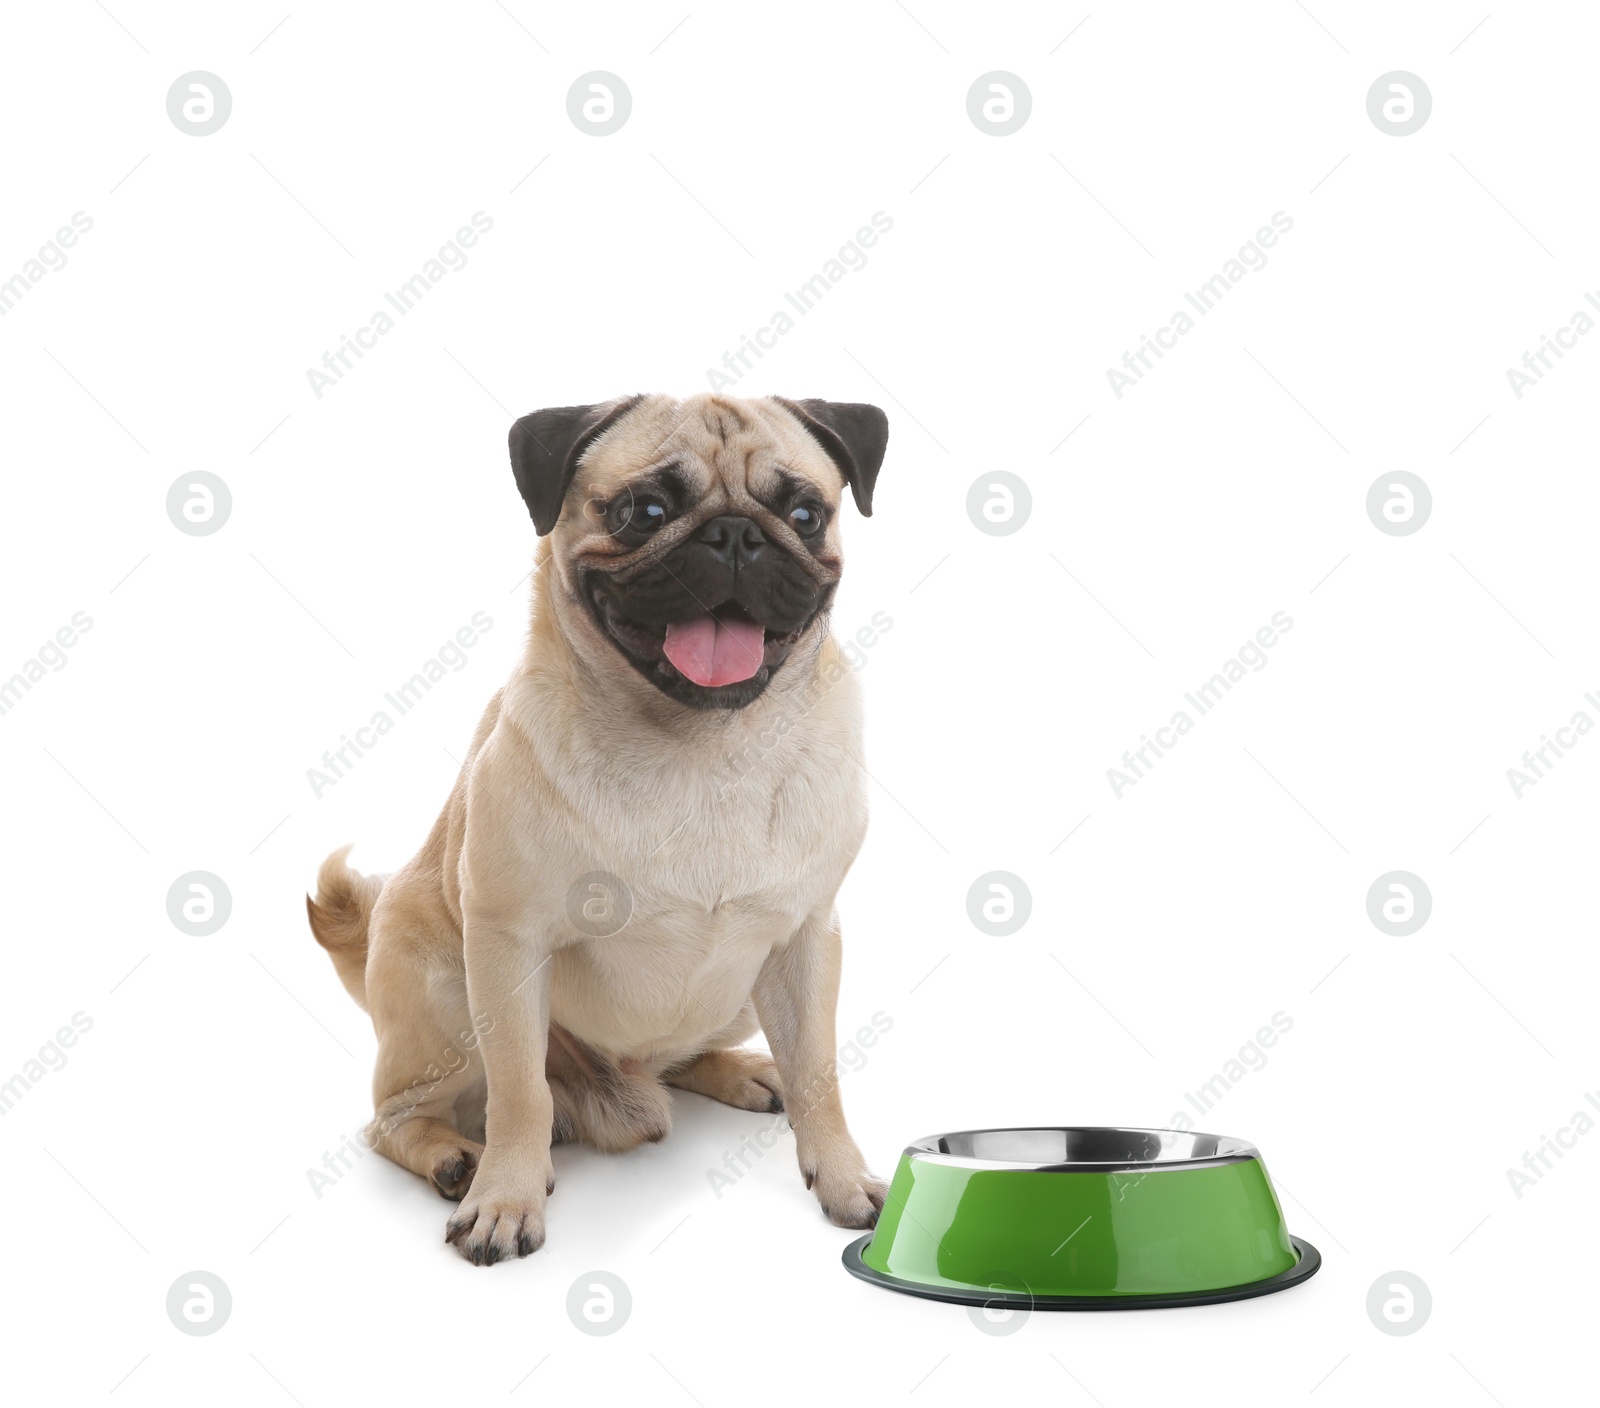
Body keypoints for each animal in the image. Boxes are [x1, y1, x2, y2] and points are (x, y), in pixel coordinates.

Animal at [305, 393, 896, 1267]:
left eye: (804, 514)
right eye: (642, 511)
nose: (735, 535)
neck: (704, 746)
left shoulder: (806, 940)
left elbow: (821, 1074)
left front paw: (844, 1176)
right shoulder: (508, 945)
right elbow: (520, 1095)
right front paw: (505, 1199)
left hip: (742, 991)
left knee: (684, 1057)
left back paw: (742, 1072)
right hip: (447, 995)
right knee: (397, 1118)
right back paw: (454, 1159)